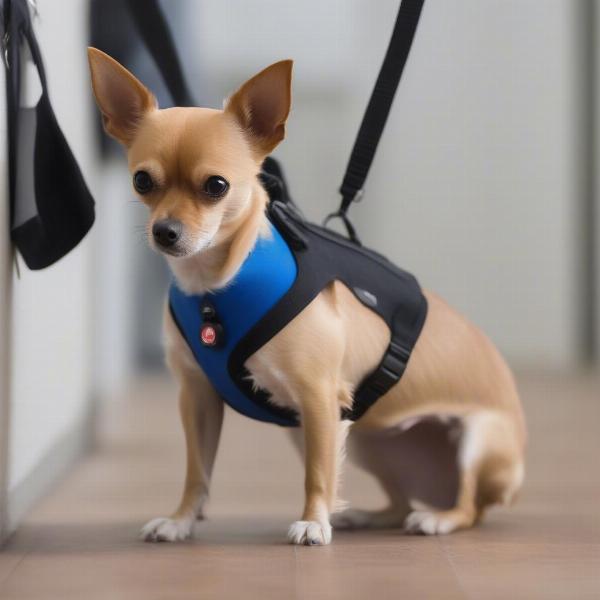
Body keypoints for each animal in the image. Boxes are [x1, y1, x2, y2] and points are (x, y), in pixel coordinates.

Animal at [88, 48, 524, 544]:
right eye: (142, 181)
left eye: (216, 186)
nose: (164, 231)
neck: (215, 285)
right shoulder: (198, 396)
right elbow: (197, 470)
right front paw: (180, 520)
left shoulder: (317, 398)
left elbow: (316, 473)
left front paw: (314, 523)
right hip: (368, 440)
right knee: (399, 501)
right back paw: (367, 515)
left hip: (477, 440)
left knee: (470, 506)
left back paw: (439, 518)